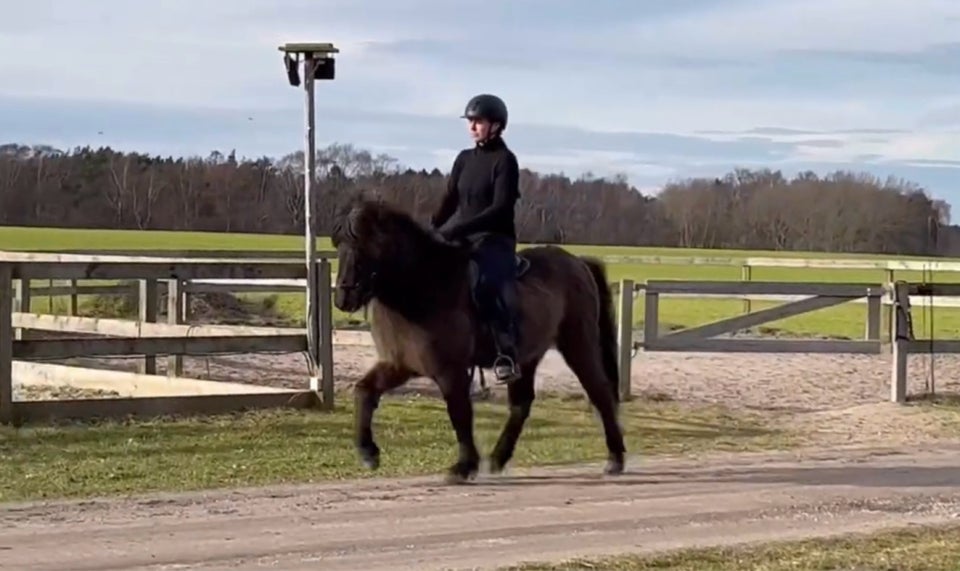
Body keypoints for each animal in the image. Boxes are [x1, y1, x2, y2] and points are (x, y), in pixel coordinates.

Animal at [334, 197, 628, 482]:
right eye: (340, 246)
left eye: (365, 246)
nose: (343, 299)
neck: (426, 286)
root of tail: (578, 263)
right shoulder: (400, 365)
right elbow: (364, 391)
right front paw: (368, 453)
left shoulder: (450, 370)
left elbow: (460, 412)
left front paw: (464, 467)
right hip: (527, 357)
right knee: (521, 404)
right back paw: (498, 459)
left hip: (577, 344)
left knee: (599, 392)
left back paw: (615, 459)